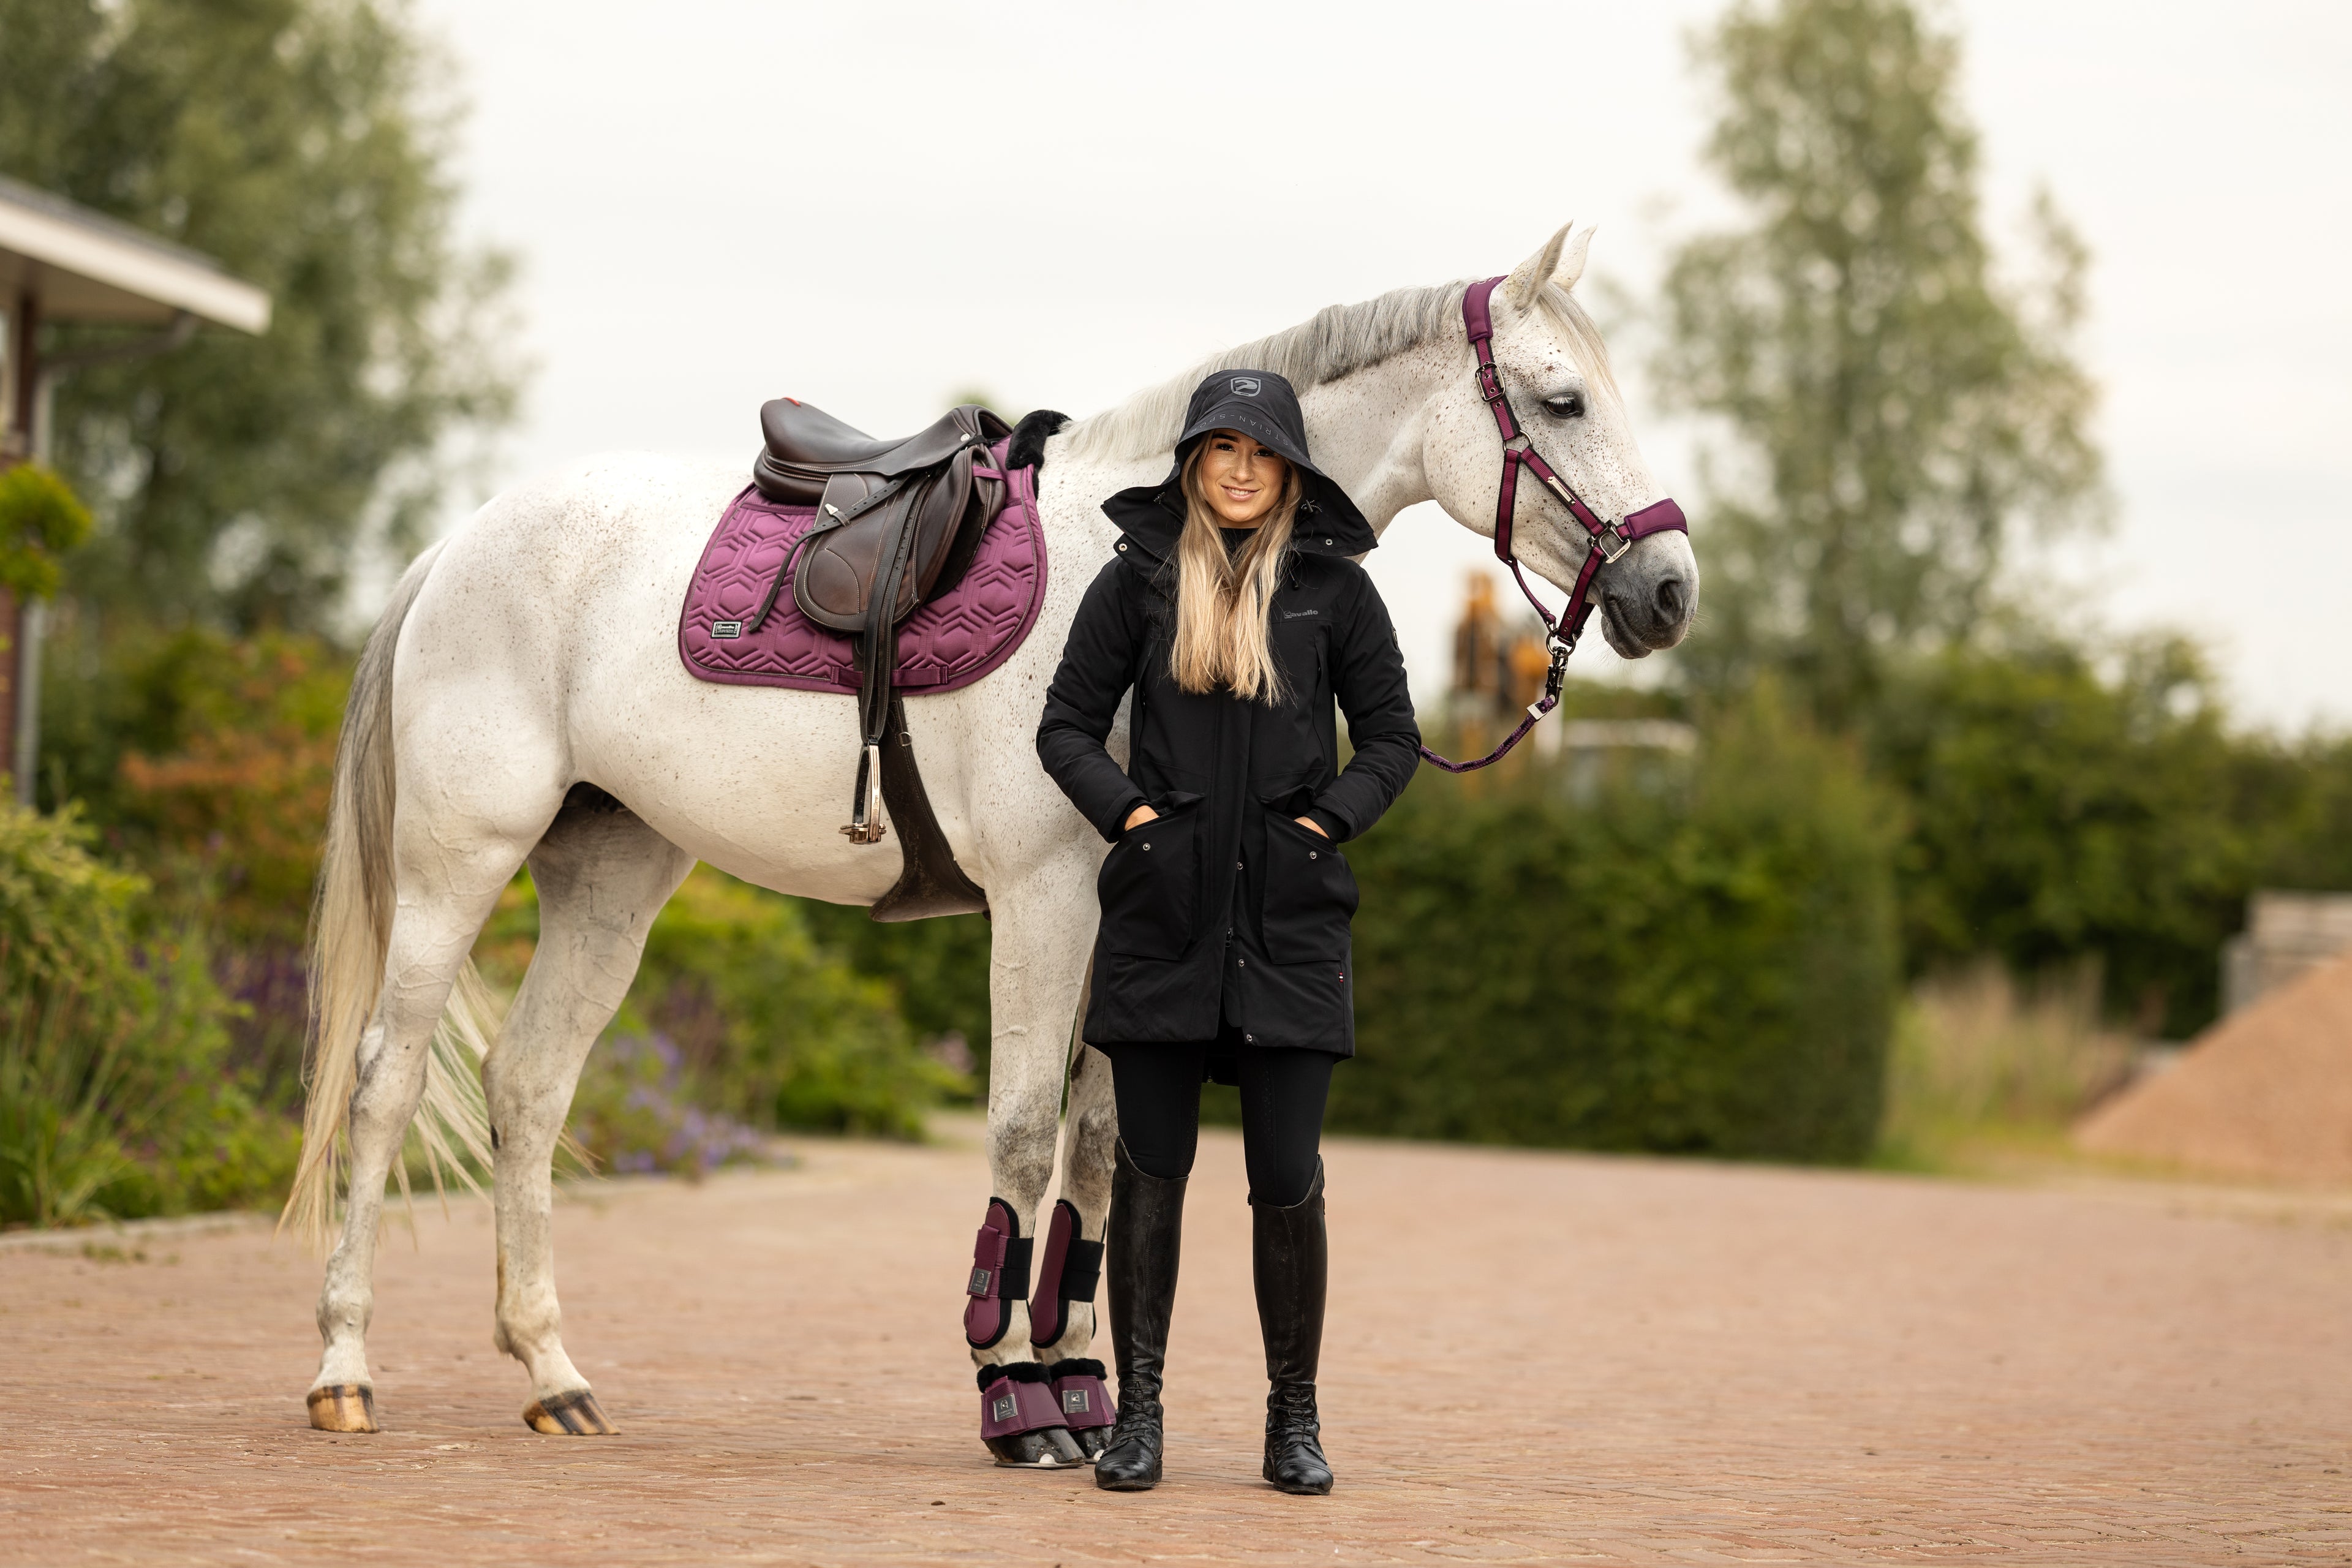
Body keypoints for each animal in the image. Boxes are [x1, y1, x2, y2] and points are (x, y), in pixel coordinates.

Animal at [283, 220, 1698, 1453]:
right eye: (1563, 401)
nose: (1670, 589)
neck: (1151, 575)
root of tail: (456, 547)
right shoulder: (1044, 902)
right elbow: (1023, 1132)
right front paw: (1015, 1394)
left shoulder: (1130, 920)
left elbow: (1103, 1152)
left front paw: (1081, 1383)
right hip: (458, 866)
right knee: (386, 1080)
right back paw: (345, 1367)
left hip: (611, 877)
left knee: (526, 1086)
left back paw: (554, 1375)